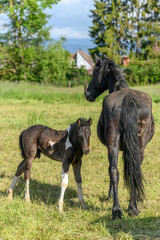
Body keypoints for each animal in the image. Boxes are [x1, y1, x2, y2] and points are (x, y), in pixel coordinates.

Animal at [85, 54, 155, 219]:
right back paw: (129, 208)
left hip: (115, 143)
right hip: (134, 144)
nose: (87, 94)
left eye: (94, 72)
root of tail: (128, 100)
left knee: (115, 170)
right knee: (128, 169)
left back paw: (118, 209)